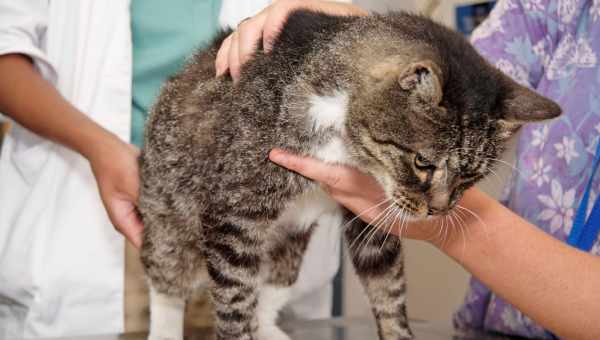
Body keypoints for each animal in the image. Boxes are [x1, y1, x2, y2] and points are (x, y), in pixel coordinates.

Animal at [138, 7, 560, 340]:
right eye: (423, 163)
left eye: (469, 179)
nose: (439, 210)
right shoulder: (234, 211)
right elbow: (234, 299)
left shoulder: (370, 215)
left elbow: (388, 287)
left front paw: (397, 331)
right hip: (168, 221)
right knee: (168, 282)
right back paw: (165, 327)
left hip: (288, 249)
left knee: (271, 287)